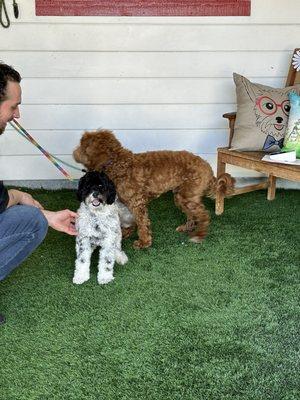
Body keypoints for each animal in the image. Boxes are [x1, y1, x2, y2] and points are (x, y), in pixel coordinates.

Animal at [74, 130, 236, 248]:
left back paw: (199, 235)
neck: (118, 163)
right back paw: (187, 228)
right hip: (181, 195)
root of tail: (208, 167)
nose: (74, 151)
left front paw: (143, 242)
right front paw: (126, 232)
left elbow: (142, 223)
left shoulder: (137, 203)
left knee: (203, 214)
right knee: (193, 214)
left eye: (82, 145)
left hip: (188, 195)